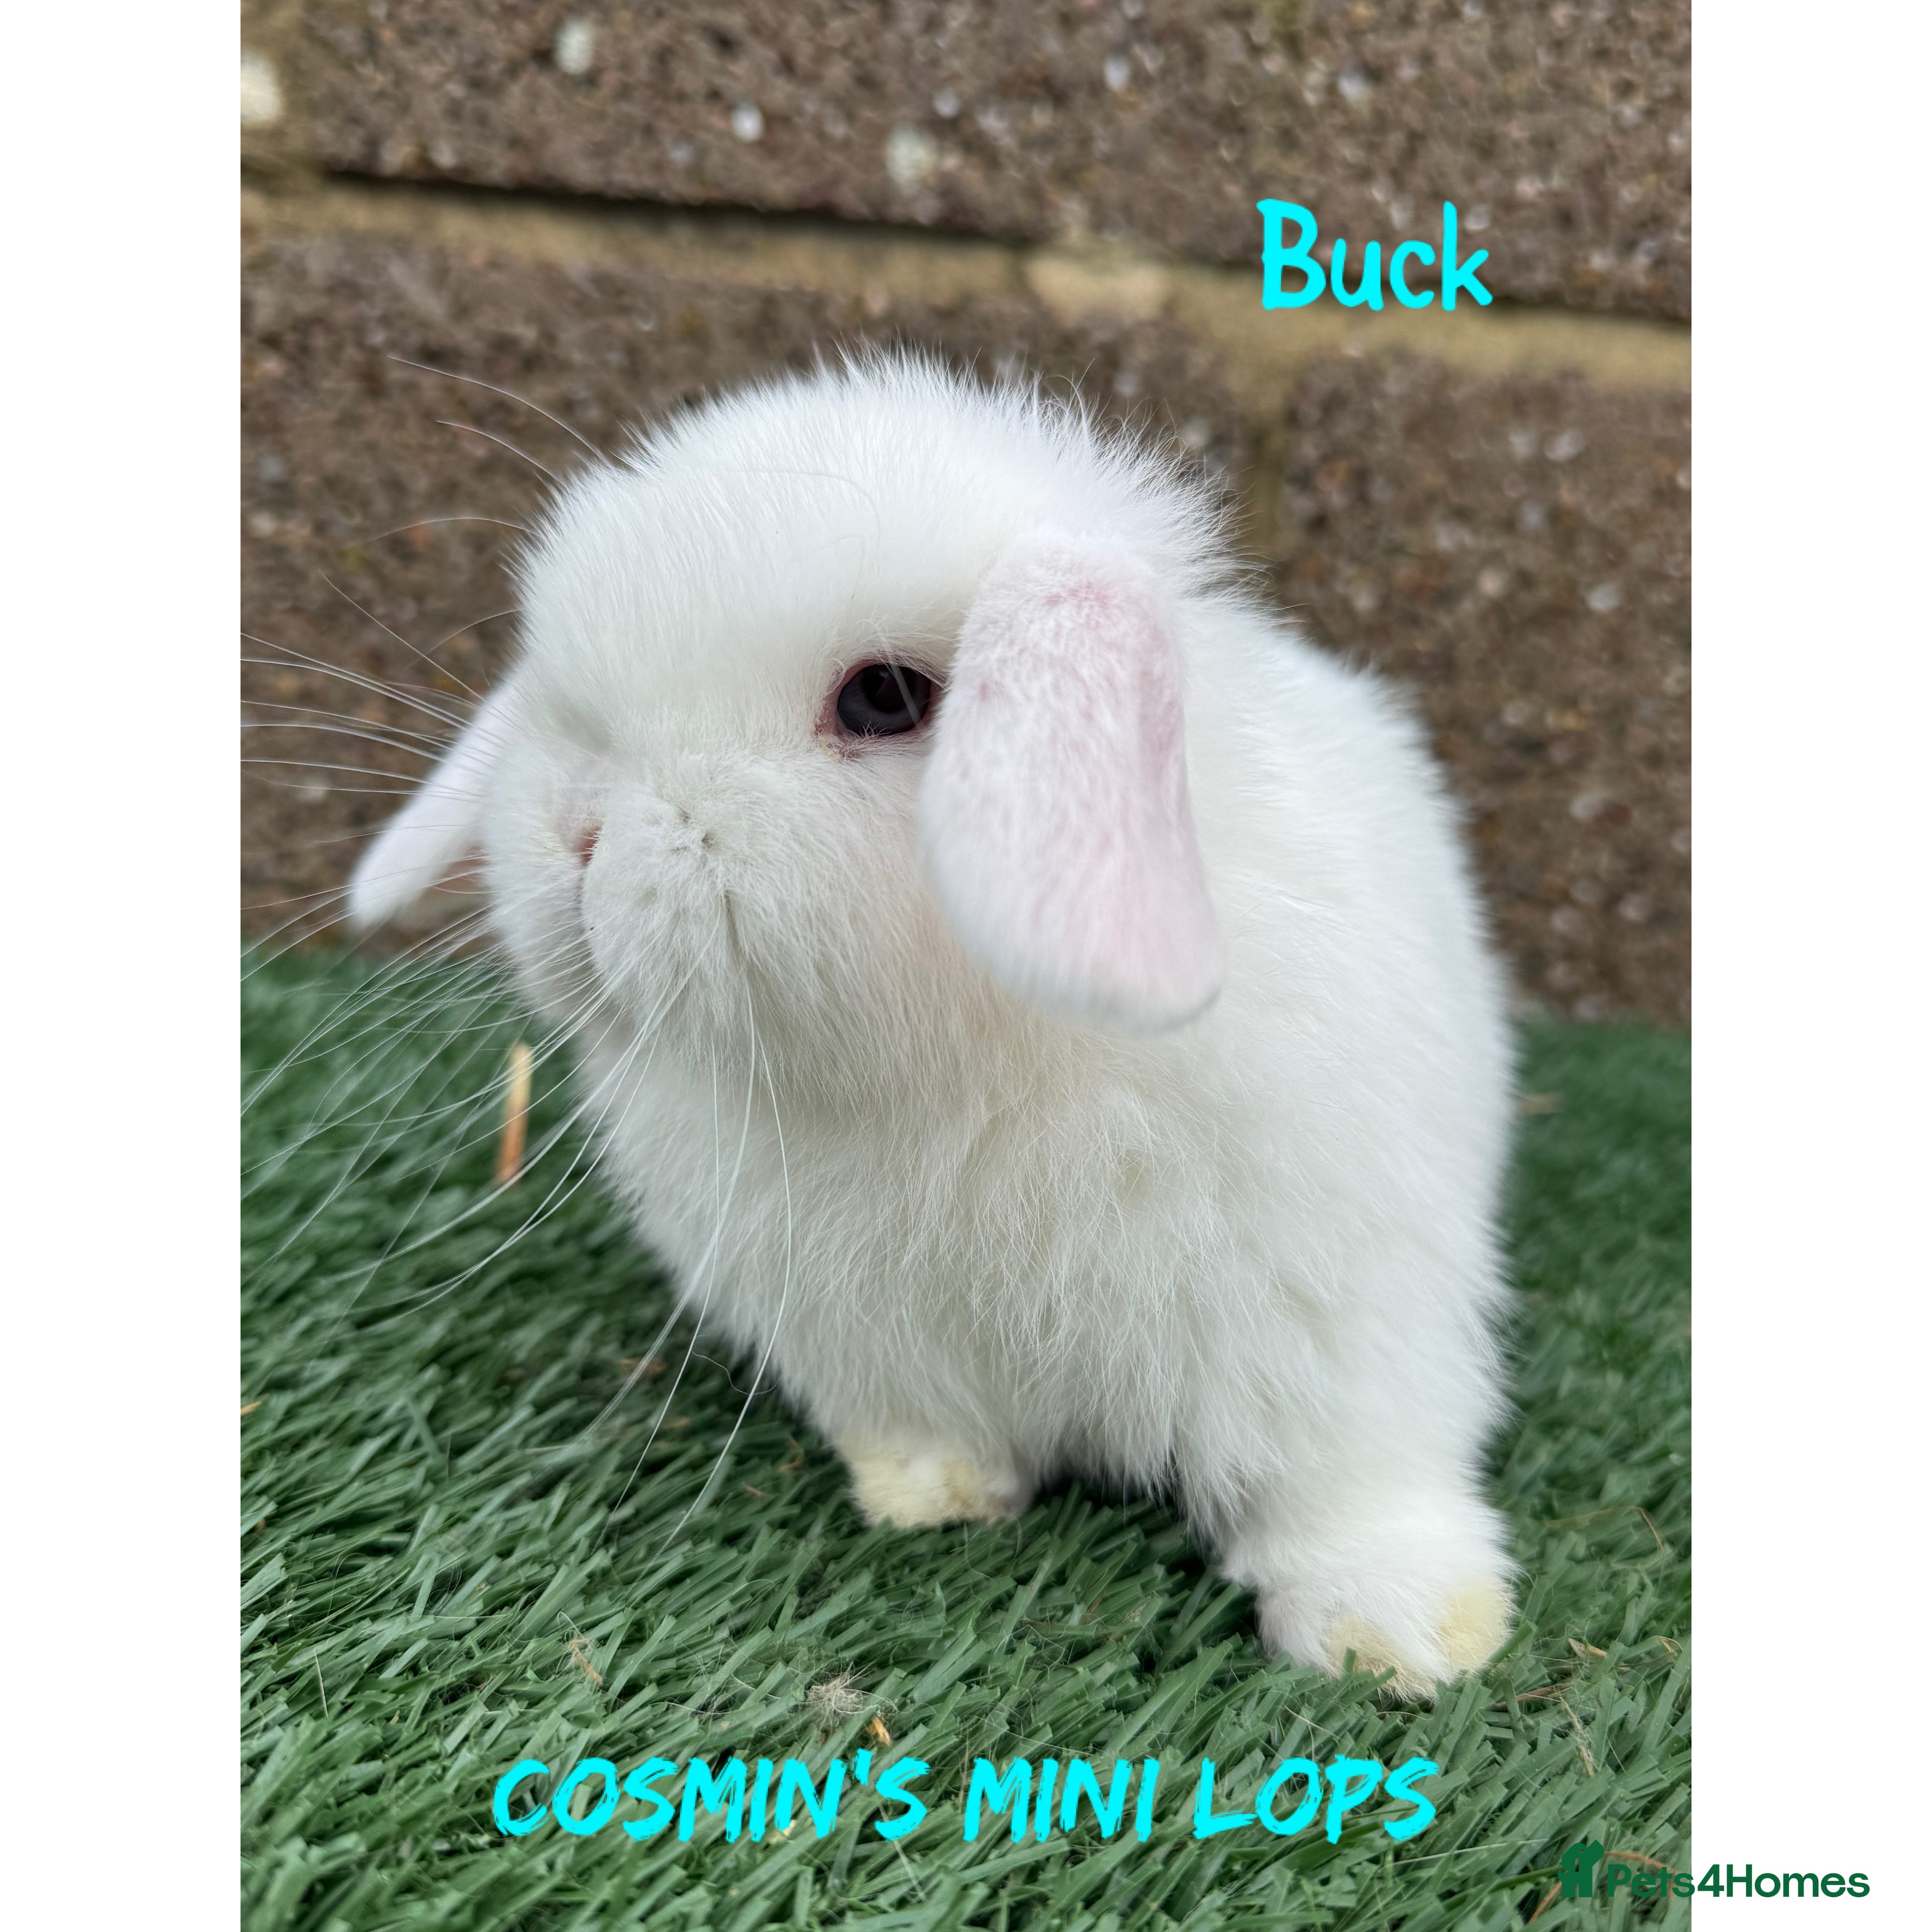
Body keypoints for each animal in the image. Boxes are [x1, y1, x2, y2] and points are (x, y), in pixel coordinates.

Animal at [348, 351, 1517, 1698]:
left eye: (884, 697)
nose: (575, 830)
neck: (962, 1062)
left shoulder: (1331, 1322)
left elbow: (1341, 1482)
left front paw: (1397, 1636)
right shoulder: (863, 1339)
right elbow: (927, 1427)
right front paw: (928, 1494)